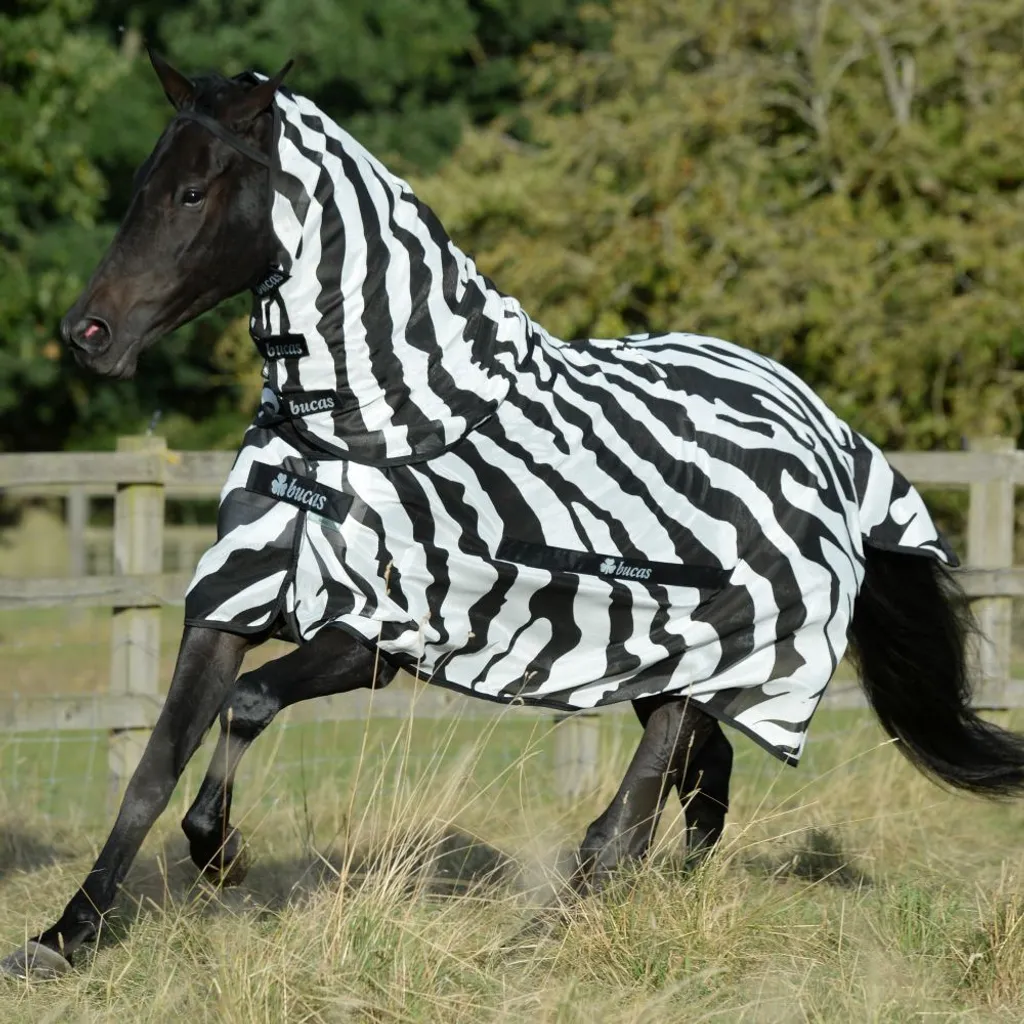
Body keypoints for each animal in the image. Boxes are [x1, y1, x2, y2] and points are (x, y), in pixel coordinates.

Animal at [6, 50, 1024, 980]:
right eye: (142, 186)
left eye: (191, 193)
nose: (87, 334)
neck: (368, 427)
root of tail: (828, 431)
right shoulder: (227, 606)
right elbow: (151, 771)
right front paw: (66, 937)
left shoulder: (374, 635)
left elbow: (249, 706)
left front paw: (223, 856)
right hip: (664, 658)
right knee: (702, 789)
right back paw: (656, 908)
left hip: (718, 652)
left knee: (637, 805)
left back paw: (549, 933)